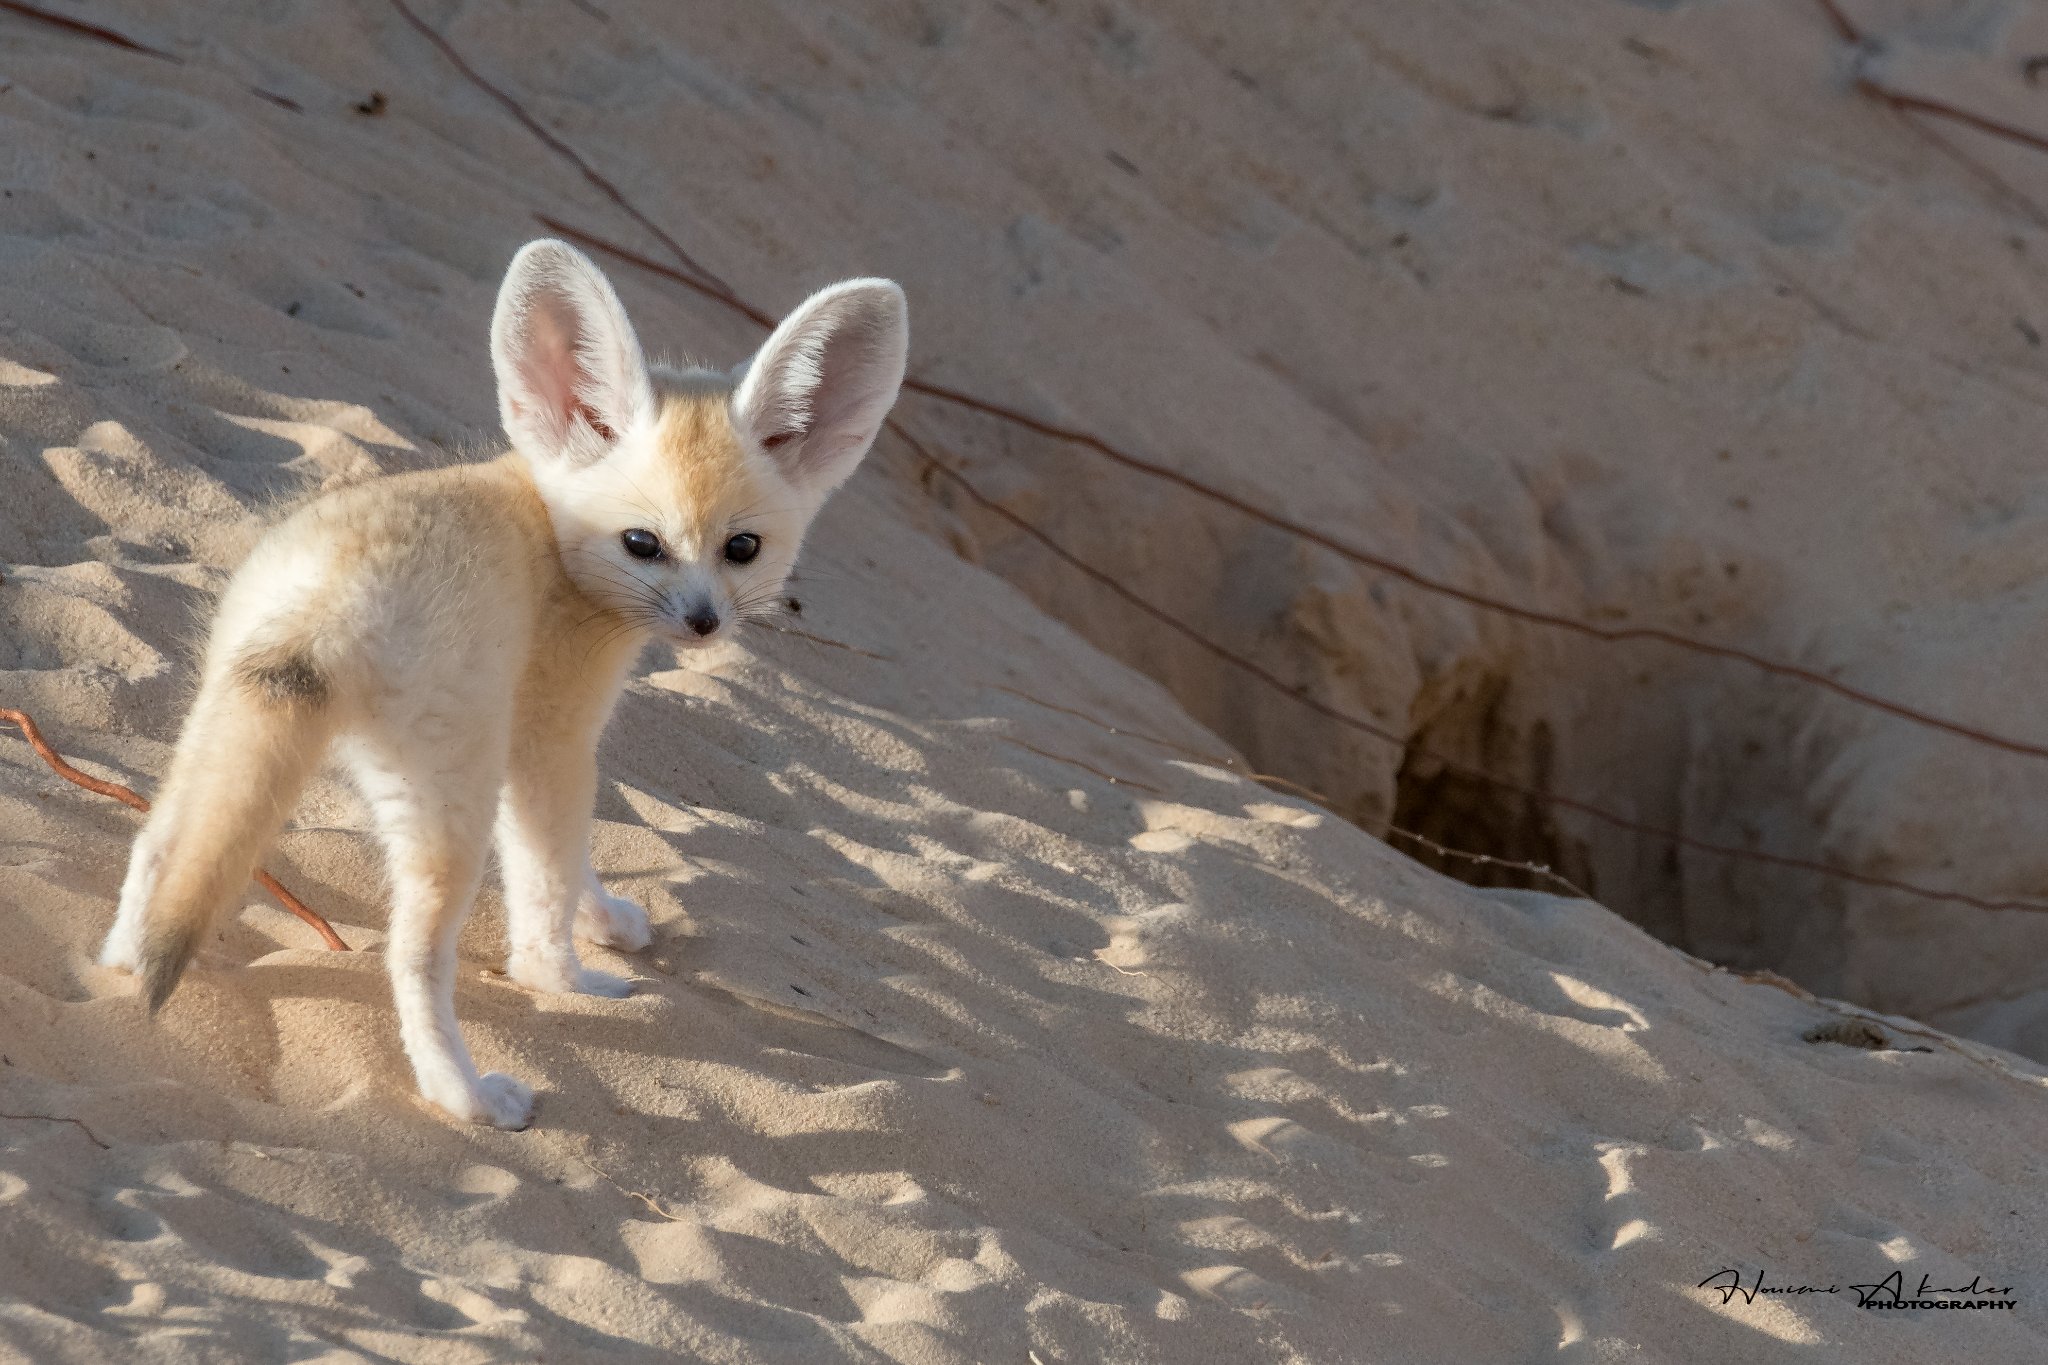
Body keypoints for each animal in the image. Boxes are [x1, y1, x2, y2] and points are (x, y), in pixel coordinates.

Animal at [97, 240, 913, 1129]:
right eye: (643, 543)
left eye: (742, 548)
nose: (703, 624)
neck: (551, 522)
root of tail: (324, 605)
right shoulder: (553, 739)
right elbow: (548, 879)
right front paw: (568, 975)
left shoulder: (537, 742)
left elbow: (574, 859)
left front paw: (608, 917)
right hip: (455, 799)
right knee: (412, 956)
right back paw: (467, 1093)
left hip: (217, 727)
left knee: (157, 848)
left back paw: (118, 968)